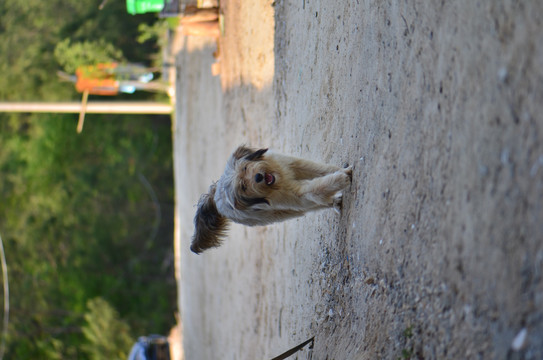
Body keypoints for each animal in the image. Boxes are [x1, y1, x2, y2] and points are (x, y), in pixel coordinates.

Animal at [191, 146, 352, 253]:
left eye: (244, 168)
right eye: (243, 187)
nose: (258, 177)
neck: (278, 182)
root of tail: (214, 194)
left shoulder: (292, 164)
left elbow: (320, 169)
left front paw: (343, 170)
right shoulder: (294, 195)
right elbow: (316, 188)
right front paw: (341, 178)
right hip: (278, 213)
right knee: (313, 205)